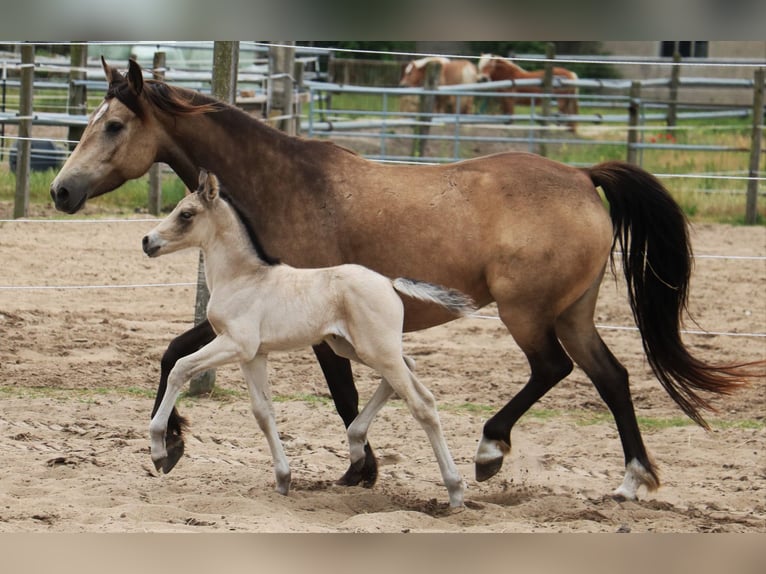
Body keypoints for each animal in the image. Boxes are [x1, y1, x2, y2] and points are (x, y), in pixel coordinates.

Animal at [142, 171, 474, 508]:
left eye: (186, 214)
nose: (147, 241)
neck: (242, 278)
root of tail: (388, 282)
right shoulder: (253, 355)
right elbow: (263, 413)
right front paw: (283, 479)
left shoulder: (235, 344)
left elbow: (180, 368)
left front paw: (159, 450)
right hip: (354, 347)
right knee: (413, 372)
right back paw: (357, 444)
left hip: (376, 350)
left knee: (421, 404)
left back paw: (455, 491)